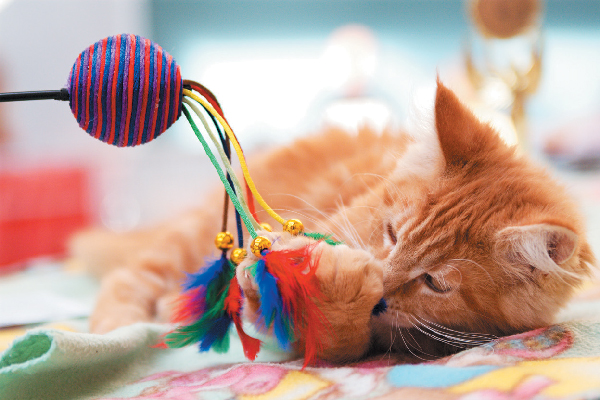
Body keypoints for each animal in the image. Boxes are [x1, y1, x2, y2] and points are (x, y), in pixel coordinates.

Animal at [70, 81, 596, 362]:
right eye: (391, 234)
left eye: (436, 283)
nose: (382, 288)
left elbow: (337, 341)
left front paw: (341, 295)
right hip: (188, 239)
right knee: (128, 277)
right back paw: (114, 333)